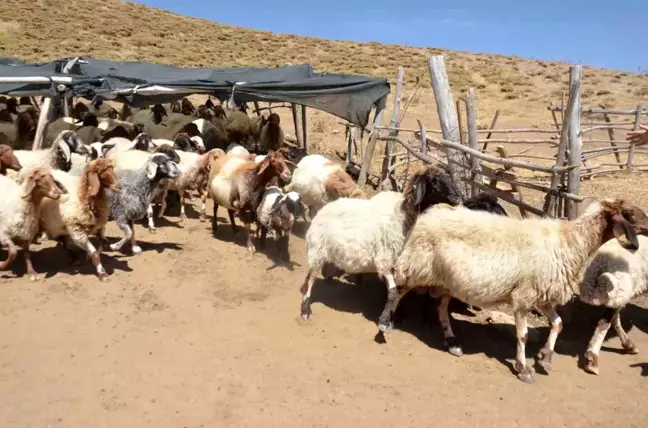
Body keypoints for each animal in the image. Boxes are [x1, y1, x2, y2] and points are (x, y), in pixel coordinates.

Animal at [298, 164, 456, 320]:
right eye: (434, 182)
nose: (455, 199)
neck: (402, 219)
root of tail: (323, 210)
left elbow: (395, 292)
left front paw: (394, 313)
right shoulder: (384, 262)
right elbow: (392, 292)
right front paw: (385, 318)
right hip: (316, 250)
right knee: (310, 279)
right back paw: (306, 310)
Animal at [580, 234, 648, 374]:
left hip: (615, 293)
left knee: (612, 318)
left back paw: (628, 345)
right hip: (620, 288)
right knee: (605, 321)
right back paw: (592, 359)